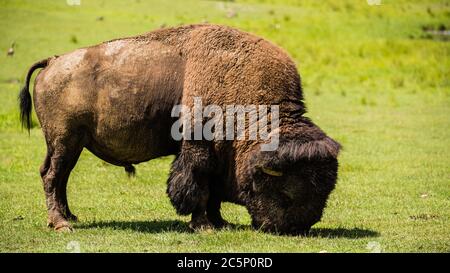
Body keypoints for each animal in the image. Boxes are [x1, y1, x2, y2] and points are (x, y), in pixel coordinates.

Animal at [19, 23, 340, 234]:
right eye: (287, 192)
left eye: (325, 191)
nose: (297, 228)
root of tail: (53, 62)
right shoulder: (198, 147)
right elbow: (197, 183)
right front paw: (204, 226)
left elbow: (211, 189)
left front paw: (220, 222)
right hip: (65, 140)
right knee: (52, 176)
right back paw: (61, 225)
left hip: (70, 144)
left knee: (59, 177)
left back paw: (70, 217)